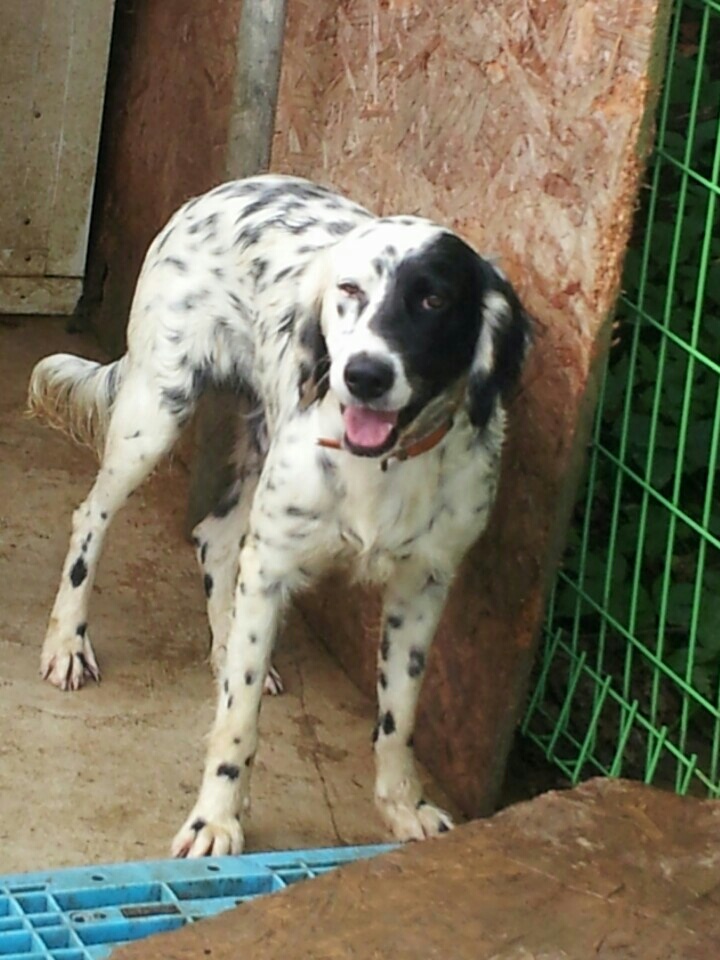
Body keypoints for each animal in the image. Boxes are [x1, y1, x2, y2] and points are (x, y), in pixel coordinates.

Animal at [28, 174, 531, 857]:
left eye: (434, 299)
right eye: (350, 290)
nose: (363, 375)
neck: (383, 464)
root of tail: (226, 187)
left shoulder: (422, 586)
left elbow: (398, 719)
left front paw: (404, 807)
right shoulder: (273, 564)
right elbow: (238, 725)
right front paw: (214, 821)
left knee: (214, 538)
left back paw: (225, 646)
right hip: (154, 416)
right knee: (91, 519)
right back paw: (68, 643)